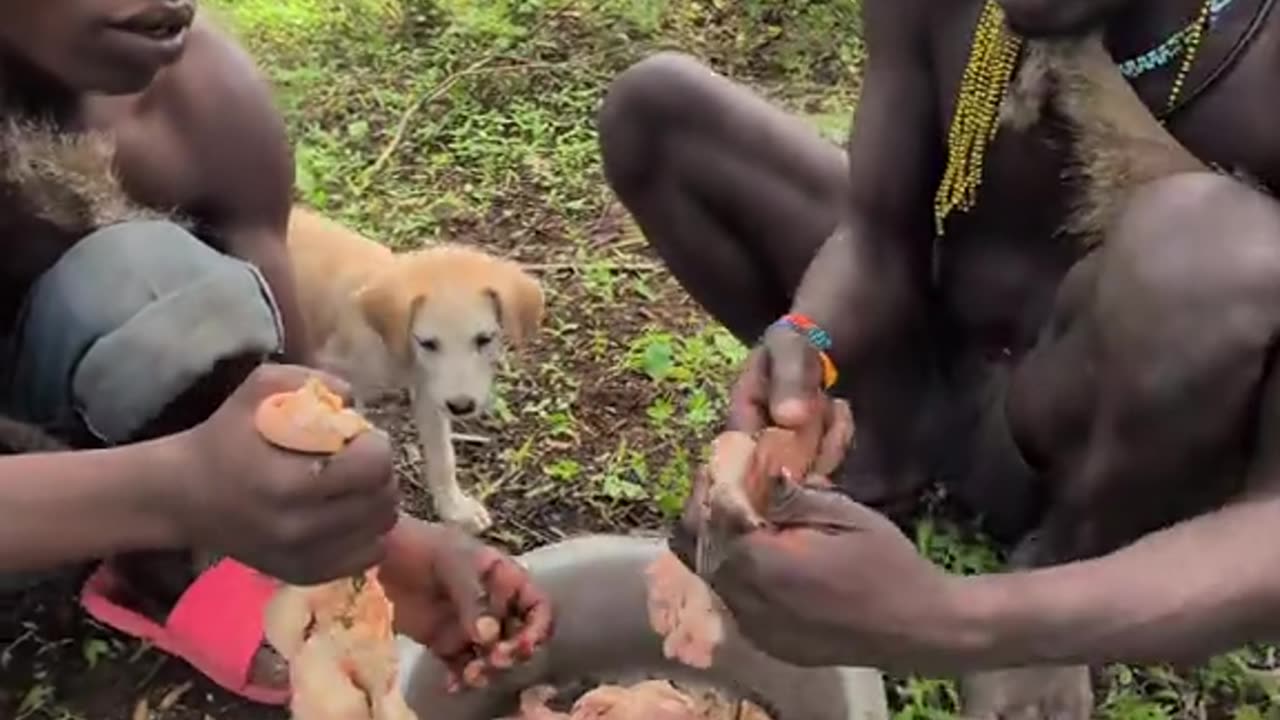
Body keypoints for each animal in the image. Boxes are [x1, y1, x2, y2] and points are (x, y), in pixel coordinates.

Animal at [288, 204, 542, 530]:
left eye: (484, 339)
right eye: (428, 343)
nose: (461, 407)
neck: (391, 342)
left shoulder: (429, 392)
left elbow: (443, 457)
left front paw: (455, 509)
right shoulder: (335, 376)